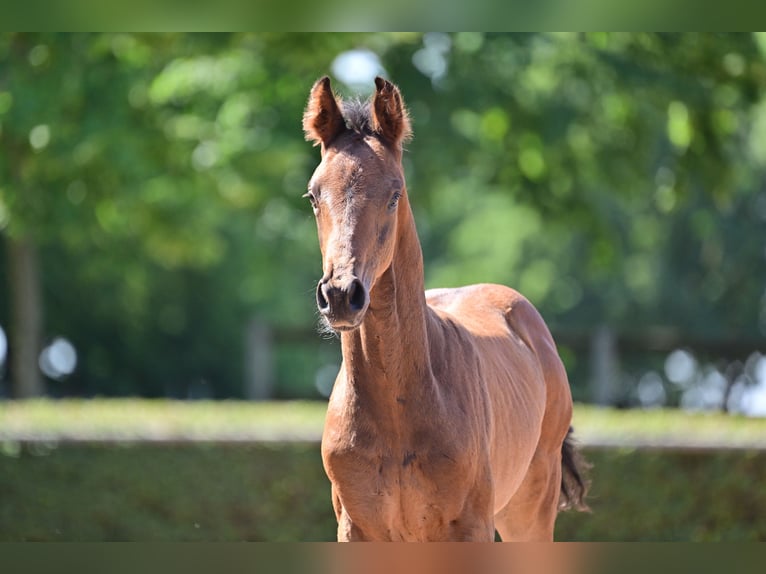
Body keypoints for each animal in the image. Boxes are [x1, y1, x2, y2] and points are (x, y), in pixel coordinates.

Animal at [300, 77, 588, 544]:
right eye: (313, 195)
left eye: (394, 193)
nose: (341, 294)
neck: (398, 411)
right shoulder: (356, 528)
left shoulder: (469, 527)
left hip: (530, 509)